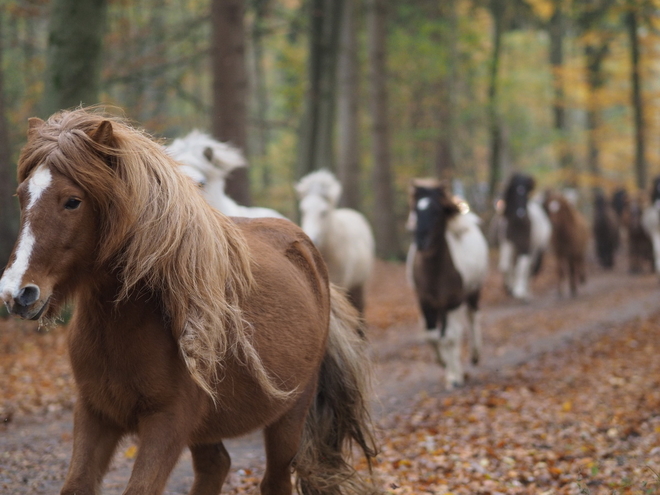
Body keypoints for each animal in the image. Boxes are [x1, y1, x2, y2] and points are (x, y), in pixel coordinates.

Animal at [0, 110, 378, 495]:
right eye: (22, 196)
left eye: (72, 201)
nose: (16, 292)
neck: (127, 322)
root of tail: (305, 247)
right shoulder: (95, 413)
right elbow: (77, 484)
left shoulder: (167, 421)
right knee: (216, 466)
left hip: (289, 416)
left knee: (274, 479)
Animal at [404, 180, 488, 390]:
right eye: (415, 210)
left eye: (437, 211)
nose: (421, 241)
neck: (435, 272)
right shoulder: (425, 302)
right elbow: (432, 335)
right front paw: (443, 363)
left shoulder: (453, 302)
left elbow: (450, 337)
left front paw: (455, 377)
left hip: (472, 292)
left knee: (472, 317)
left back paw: (475, 355)